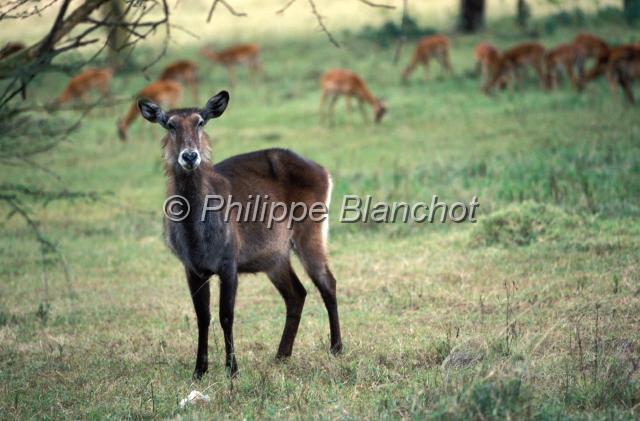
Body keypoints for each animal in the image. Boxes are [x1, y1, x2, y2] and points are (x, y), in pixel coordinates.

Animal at [138, 91, 342, 378]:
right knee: (296, 294)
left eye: (200, 121)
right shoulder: (193, 269)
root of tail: (322, 170)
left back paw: (336, 348)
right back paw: (281, 355)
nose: (189, 156)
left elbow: (226, 315)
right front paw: (199, 370)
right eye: (170, 124)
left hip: (308, 236)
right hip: (275, 256)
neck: (197, 234)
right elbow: (203, 316)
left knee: (327, 282)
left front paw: (232, 369)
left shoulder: (228, 265)